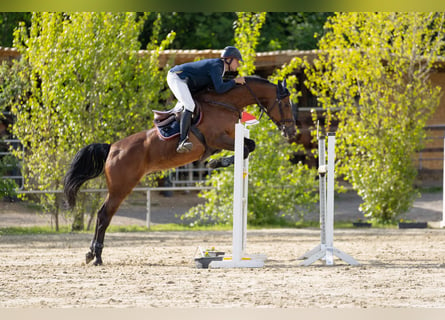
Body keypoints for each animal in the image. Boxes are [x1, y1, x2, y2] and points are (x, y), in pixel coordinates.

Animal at [63, 76, 294, 266]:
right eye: (285, 104)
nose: (290, 131)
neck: (225, 103)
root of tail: (111, 148)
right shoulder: (218, 139)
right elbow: (246, 148)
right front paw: (215, 163)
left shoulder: (227, 139)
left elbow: (250, 145)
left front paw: (215, 162)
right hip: (122, 187)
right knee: (104, 215)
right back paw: (96, 256)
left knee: (103, 215)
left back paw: (91, 254)